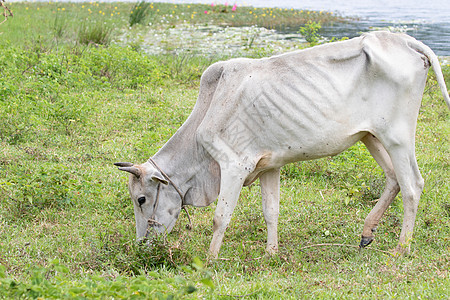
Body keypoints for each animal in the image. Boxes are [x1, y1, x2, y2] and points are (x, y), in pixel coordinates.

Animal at [116, 31, 450, 258]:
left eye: (141, 199)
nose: (142, 244)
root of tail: (405, 40)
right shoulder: (269, 166)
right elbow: (271, 211)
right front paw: (271, 253)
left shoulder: (234, 164)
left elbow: (220, 217)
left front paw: (210, 260)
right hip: (371, 136)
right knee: (393, 179)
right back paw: (367, 232)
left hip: (398, 137)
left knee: (412, 185)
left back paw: (402, 248)